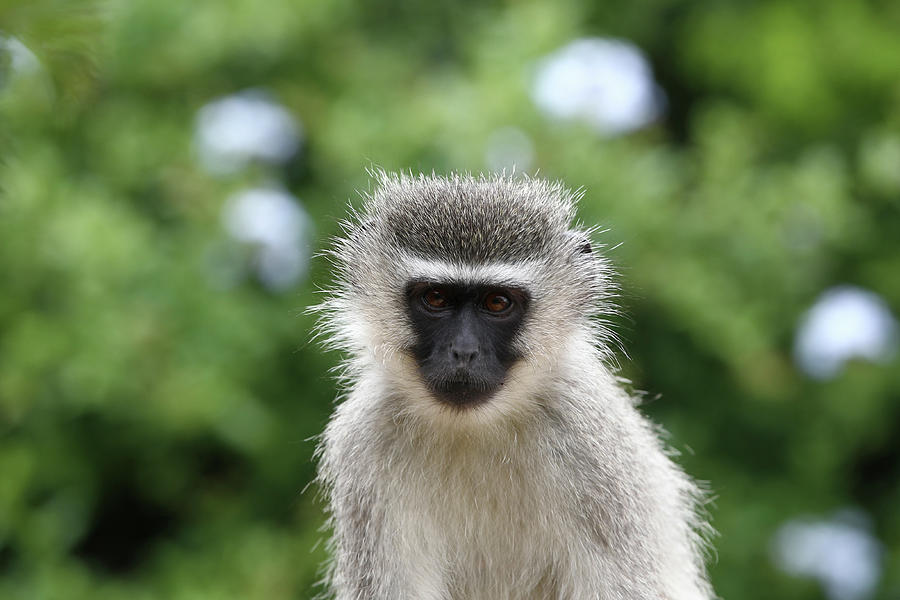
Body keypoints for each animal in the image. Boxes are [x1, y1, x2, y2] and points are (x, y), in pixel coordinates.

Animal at [312, 171, 712, 596]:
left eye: (497, 302)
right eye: (435, 298)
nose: (464, 351)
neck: (472, 429)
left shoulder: (589, 445)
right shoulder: (366, 444)